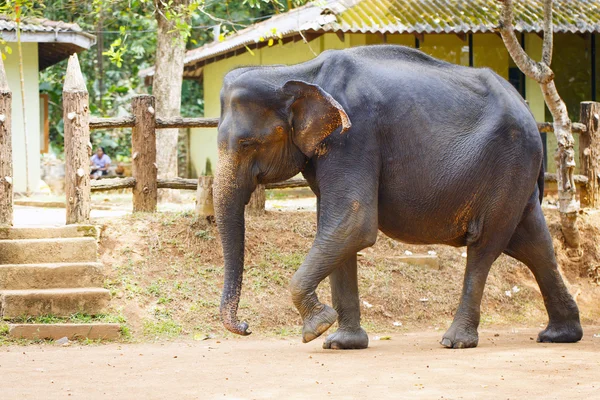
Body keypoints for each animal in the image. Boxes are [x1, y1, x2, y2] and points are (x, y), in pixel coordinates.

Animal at [213, 44, 584, 350]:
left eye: (246, 143)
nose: (246, 326)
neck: (298, 72)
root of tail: (530, 113)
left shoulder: (354, 136)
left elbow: (353, 222)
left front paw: (316, 329)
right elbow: (336, 230)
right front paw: (341, 343)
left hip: (508, 163)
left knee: (486, 245)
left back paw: (455, 341)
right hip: (517, 173)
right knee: (532, 244)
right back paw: (560, 335)